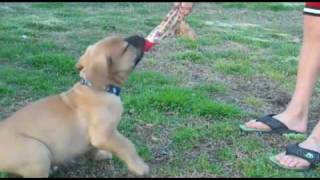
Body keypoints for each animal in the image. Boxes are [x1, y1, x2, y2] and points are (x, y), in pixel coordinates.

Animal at [0, 34, 150, 177]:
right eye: (126, 47)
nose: (139, 35)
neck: (96, 88)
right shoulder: (104, 134)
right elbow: (127, 145)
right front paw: (140, 167)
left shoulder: (97, 138)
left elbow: (94, 147)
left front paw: (100, 155)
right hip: (37, 152)